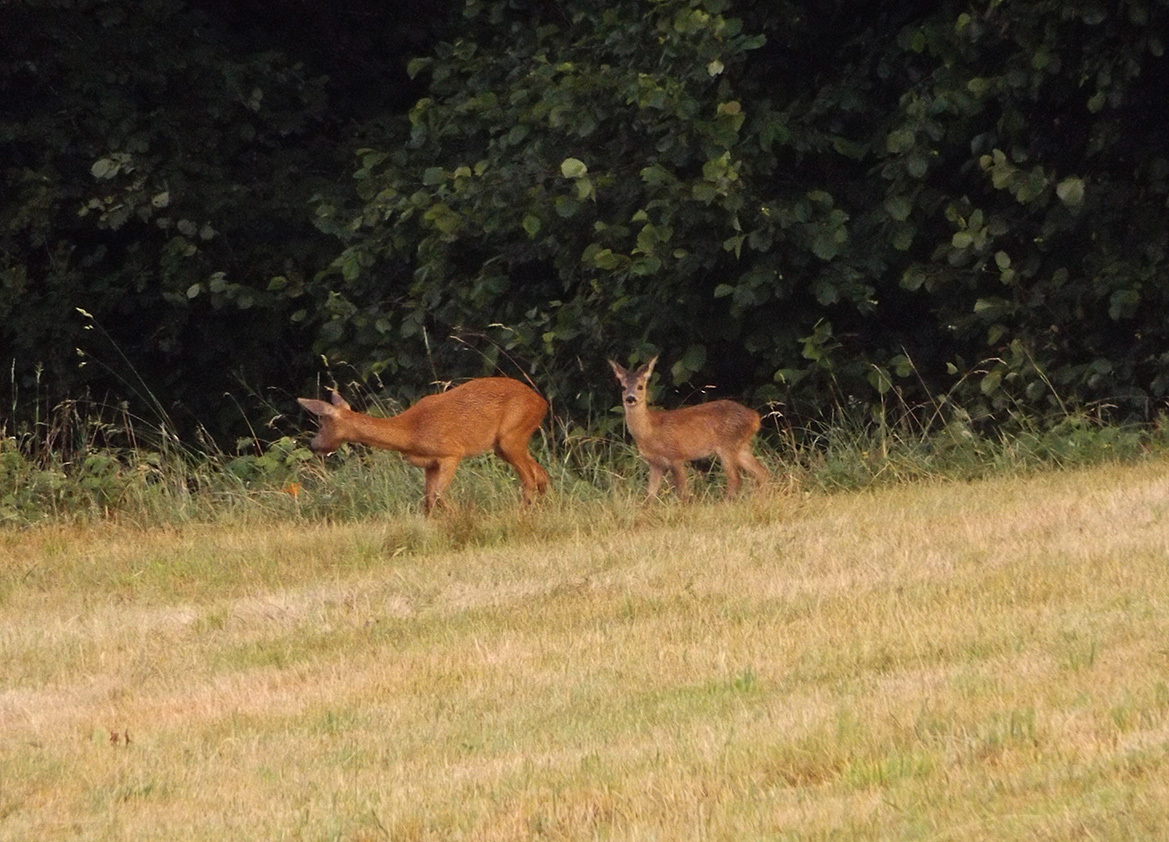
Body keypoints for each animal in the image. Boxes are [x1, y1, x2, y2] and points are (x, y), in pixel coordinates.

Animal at [292, 376, 547, 512]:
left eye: (322, 422)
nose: (314, 445)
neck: (410, 432)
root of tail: (542, 403)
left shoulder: (451, 453)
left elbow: (438, 496)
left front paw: (461, 516)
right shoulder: (430, 464)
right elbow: (427, 499)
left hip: (511, 436)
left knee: (529, 479)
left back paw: (522, 514)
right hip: (503, 444)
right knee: (541, 474)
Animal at [612, 355, 766, 500]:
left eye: (640, 386)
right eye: (623, 387)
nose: (630, 398)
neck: (650, 431)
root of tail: (755, 417)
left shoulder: (676, 455)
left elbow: (683, 493)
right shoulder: (655, 463)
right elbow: (649, 496)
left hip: (728, 446)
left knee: (736, 480)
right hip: (741, 447)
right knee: (762, 472)